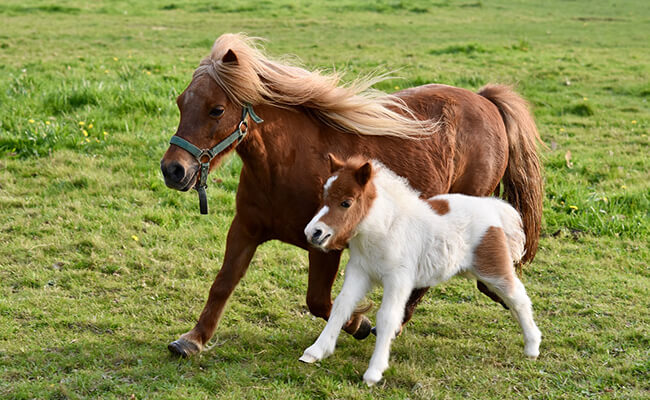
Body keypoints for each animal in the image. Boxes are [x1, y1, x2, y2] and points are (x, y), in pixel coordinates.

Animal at [158, 34, 540, 358]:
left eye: (216, 109)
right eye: (180, 103)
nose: (173, 170)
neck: (286, 164)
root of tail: (485, 100)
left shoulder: (324, 244)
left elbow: (319, 301)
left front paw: (359, 323)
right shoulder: (245, 229)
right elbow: (223, 284)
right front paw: (193, 339)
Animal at [302, 155, 540, 386]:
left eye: (346, 203)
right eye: (324, 197)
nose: (313, 232)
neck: (385, 228)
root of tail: (493, 208)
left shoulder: (398, 280)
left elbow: (387, 317)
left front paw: (374, 372)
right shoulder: (359, 272)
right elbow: (341, 305)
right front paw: (316, 351)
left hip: (493, 269)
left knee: (518, 298)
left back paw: (532, 346)